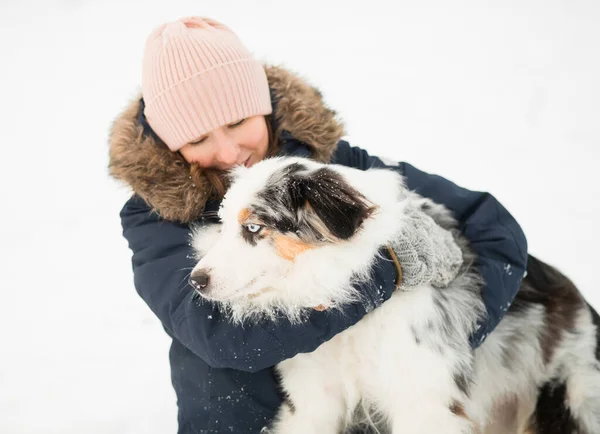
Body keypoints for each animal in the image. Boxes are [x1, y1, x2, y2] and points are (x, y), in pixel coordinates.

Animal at [188, 158, 600, 432]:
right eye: (223, 224)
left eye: (254, 227)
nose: (195, 281)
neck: (352, 318)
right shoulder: (314, 400)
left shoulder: (424, 402)